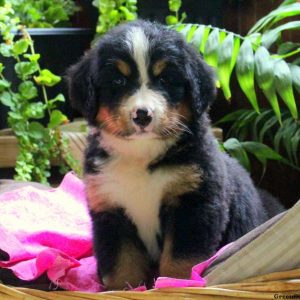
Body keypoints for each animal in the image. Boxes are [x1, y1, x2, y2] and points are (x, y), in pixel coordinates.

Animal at [66, 20, 284, 290]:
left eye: (166, 79)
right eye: (117, 80)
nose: (142, 115)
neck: (142, 157)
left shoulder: (194, 205)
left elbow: (181, 260)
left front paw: (175, 284)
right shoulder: (110, 209)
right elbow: (122, 264)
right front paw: (122, 289)